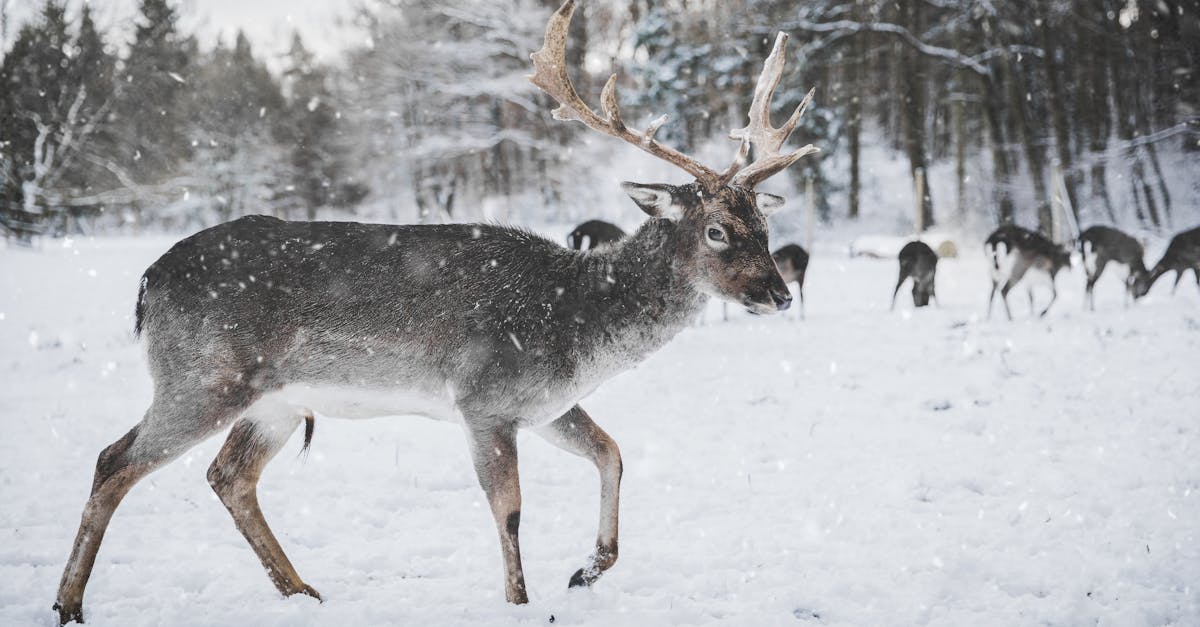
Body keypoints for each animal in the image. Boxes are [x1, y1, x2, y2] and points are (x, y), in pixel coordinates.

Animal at [52, 2, 818, 624]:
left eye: (764, 223)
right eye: (716, 230)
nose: (779, 293)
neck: (577, 325)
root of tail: (148, 282)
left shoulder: (544, 404)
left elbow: (613, 452)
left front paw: (586, 570)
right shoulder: (485, 396)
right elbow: (510, 509)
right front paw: (521, 601)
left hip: (273, 400)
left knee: (228, 476)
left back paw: (303, 591)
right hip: (203, 375)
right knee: (113, 459)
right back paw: (70, 603)